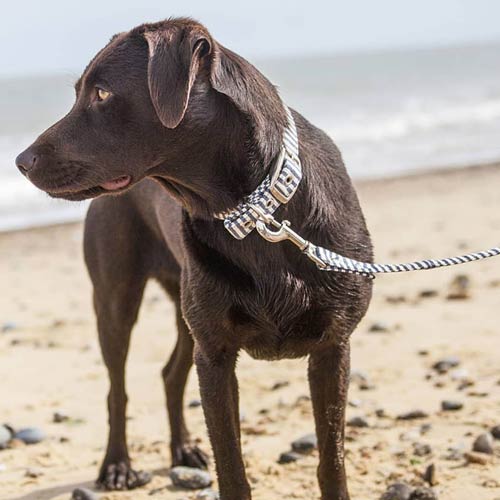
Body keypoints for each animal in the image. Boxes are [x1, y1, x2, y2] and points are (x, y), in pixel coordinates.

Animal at [16, 16, 372, 500]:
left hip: (185, 312)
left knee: (170, 374)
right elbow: (231, 467)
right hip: (116, 299)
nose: (20, 161)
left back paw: (182, 449)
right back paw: (117, 465)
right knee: (117, 390)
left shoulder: (332, 347)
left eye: (102, 93)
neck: (255, 211)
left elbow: (331, 458)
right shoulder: (216, 355)